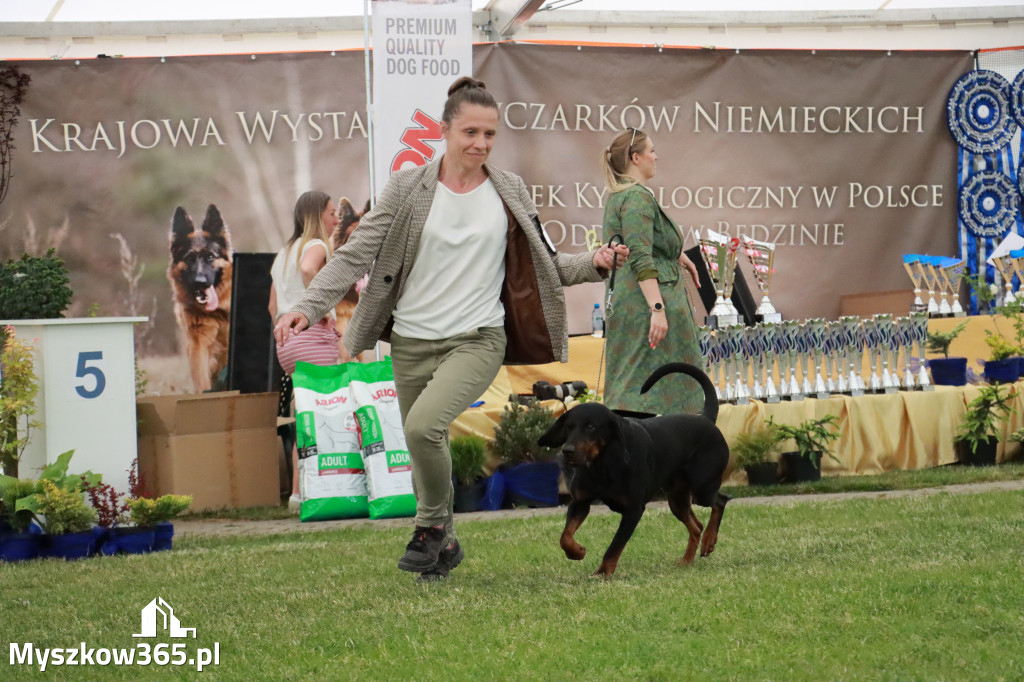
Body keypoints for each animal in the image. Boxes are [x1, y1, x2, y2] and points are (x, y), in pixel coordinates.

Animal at [540, 360, 733, 573]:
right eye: (569, 427)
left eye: (591, 427)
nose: (567, 451)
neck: (603, 465)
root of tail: (705, 418)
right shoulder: (580, 502)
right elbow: (565, 536)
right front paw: (576, 552)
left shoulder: (633, 510)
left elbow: (615, 545)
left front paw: (603, 572)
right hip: (677, 497)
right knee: (697, 526)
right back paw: (687, 560)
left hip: (702, 488)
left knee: (721, 501)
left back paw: (709, 540)